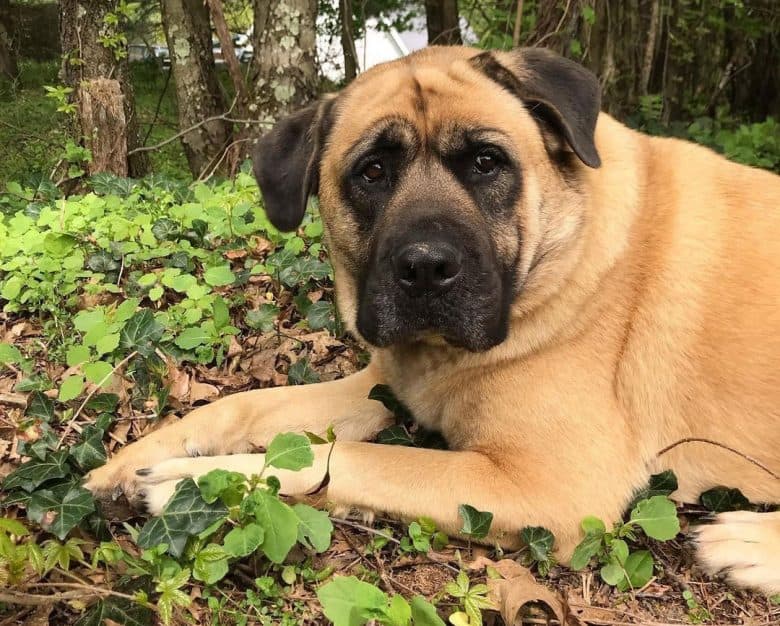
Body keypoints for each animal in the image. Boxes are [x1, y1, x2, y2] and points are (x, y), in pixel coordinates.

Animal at [82, 46, 776, 592]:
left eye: (487, 163)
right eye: (372, 172)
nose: (425, 267)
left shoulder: (547, 485)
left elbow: (347, 458)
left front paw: (202, 485)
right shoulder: (380, 386)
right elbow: (240, 406)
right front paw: (132, 460)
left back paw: (745, 543)